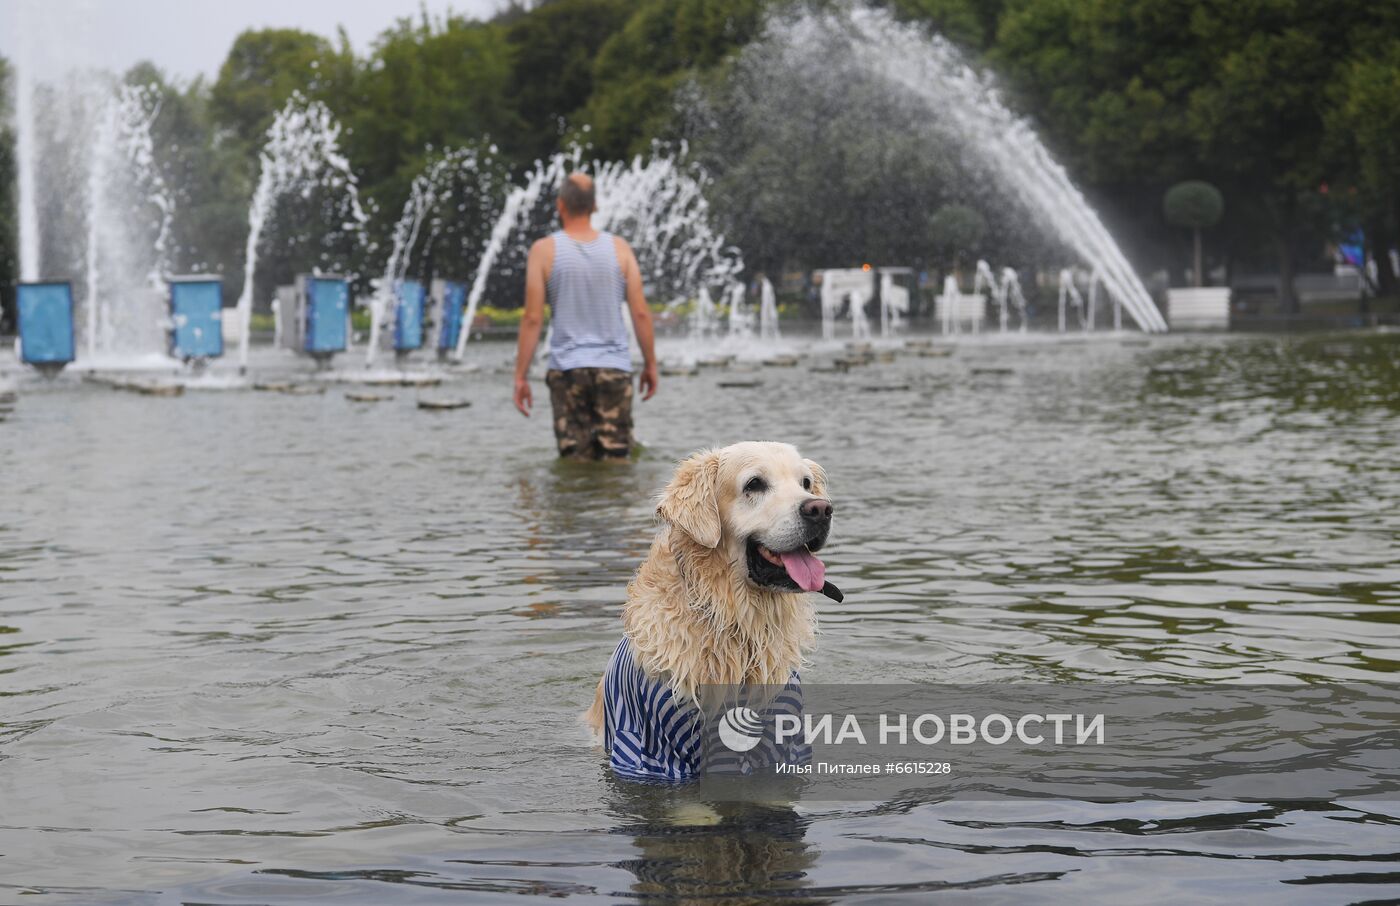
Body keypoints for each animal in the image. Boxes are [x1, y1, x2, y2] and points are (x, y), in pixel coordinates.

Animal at [582, 442, 834, 784]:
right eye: (754, 484)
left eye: (805, 483)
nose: (821, 509)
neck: (738, 624)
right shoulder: (657, 748)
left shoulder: (781, 744)